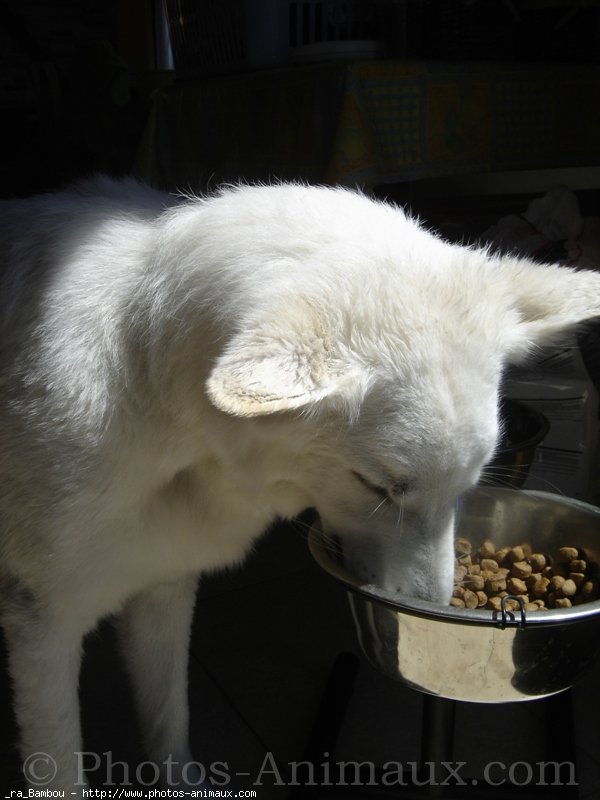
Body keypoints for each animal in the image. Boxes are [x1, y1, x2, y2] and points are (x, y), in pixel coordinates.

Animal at [1, 178, 600, 792]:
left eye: (464, 488)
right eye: (378, 487)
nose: (433, 608)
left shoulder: (163, 586)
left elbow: (169, 722)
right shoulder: (45, 626)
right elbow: (60, 765)